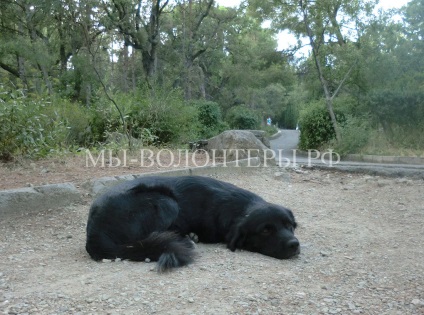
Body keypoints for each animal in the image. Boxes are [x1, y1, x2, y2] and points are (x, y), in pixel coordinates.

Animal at [85, 175, 298, 272]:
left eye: (290, 226)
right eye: (265, 230)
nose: (294, 244)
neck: (240, 206)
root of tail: (94, 234)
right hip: (166, 201)